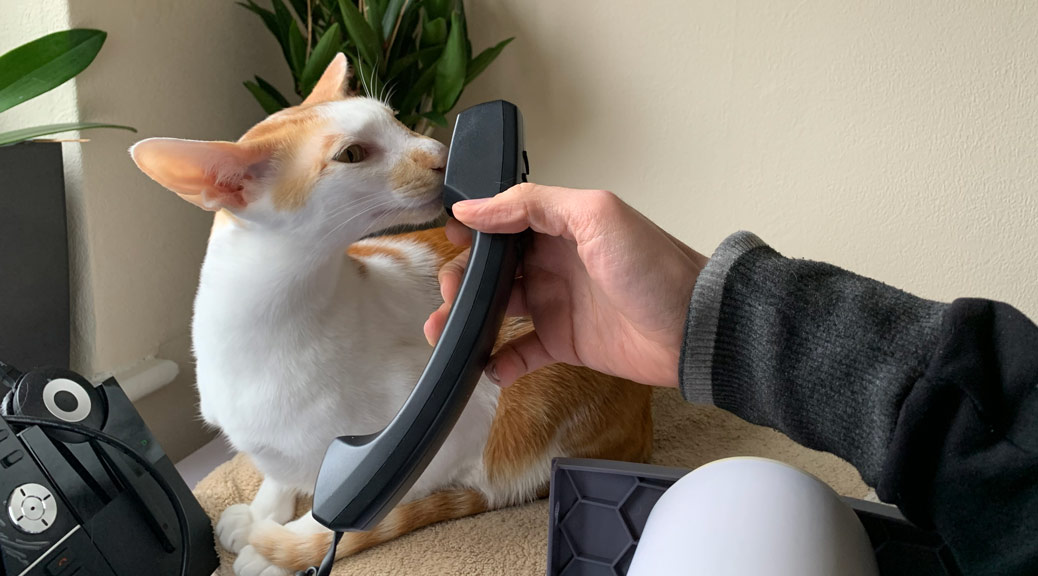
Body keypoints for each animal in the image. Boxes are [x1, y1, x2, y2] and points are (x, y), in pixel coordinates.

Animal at [127, 55, 647, 576]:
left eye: (397, 119)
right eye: (352, 154)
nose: (442, 152)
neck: (259, 327)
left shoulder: (447, 433)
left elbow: (341, 512)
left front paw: (279, 545)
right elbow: (278, 473)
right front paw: (263, 512)